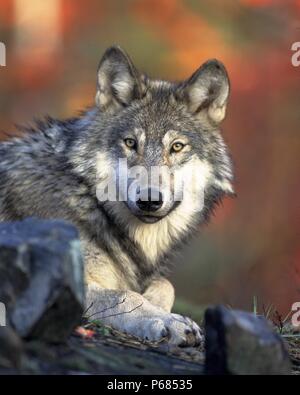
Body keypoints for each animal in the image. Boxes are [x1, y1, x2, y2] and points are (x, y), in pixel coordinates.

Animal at [0, 46, 234, 348]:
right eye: (131, 143)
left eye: (177, 147)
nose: (149, 200)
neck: (88, 199)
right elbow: (125, 295)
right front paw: (168, 321)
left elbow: (165, 284)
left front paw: (158, 305)